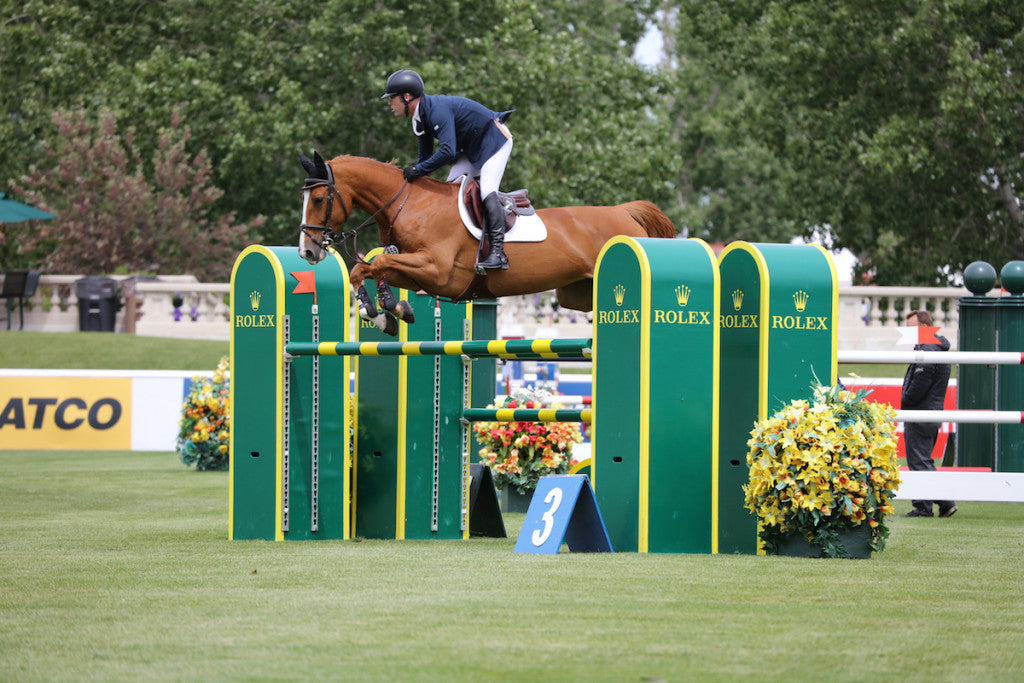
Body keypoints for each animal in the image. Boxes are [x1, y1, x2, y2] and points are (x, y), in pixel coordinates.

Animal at [299, 154, 675, 335]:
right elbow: (369, 268)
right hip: (576, 293)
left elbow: (372, 264)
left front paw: (382, 311)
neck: (411, 203)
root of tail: (624, 212)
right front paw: (388, 312)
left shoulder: (437, 271)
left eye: (318, 199)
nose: (307, 251)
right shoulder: (421, 272)